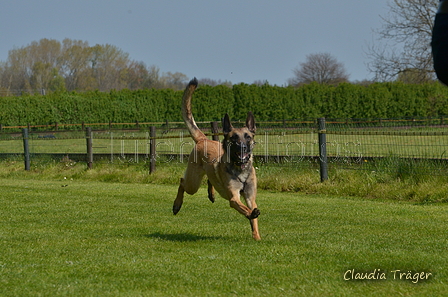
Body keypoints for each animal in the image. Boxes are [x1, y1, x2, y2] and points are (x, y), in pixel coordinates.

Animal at [172, 77, 262, 239]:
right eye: (234, 138)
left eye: (248, 137)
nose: (242, 148)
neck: (240, 169)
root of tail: (203, 139)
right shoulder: (234, 198)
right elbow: (245, 209)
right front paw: (250, 214)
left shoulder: (250, 197)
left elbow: (254, 219)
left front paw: (257, 237)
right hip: (193, 183)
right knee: (182, 182)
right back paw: (177, 205)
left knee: (210, 179)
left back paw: (211, 194)